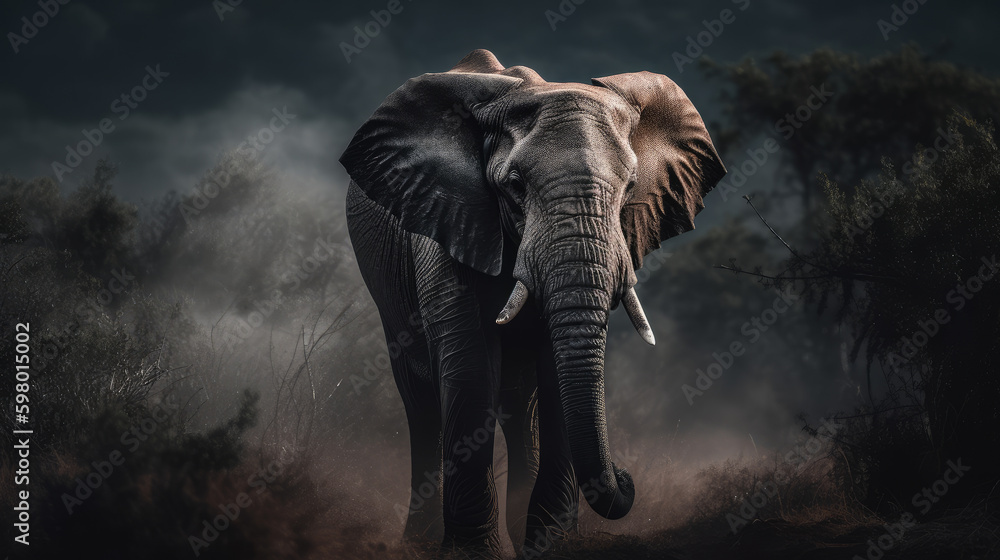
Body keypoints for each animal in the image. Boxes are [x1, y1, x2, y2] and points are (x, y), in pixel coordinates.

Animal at [340, 49, 725, 557]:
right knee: (420, 400)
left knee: (521, 406)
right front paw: (472, 554)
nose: (627, 477)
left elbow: (554, 374)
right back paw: (418, 543)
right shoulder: (449, 216)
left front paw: (552, 546)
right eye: (515, 184)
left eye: (631, 185)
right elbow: (471, 367)